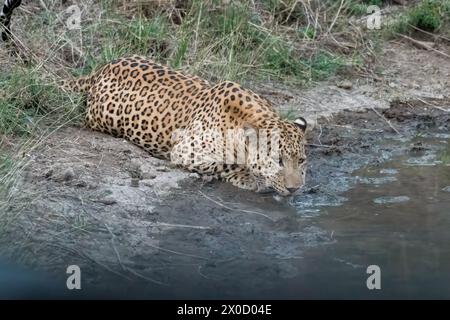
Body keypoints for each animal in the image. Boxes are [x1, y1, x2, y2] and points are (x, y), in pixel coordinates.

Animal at [62, 55, 310, 196]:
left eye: (301, 160)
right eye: (277, 160)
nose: (295, 189)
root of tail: (101, 69)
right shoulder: (185, 151)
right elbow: (225, 163)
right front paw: (249, 178)